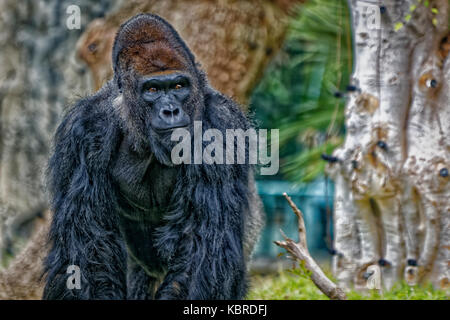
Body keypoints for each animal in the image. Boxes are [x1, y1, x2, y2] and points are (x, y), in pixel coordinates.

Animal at [42, 13, 264, 298]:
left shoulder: (222, 125)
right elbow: (85, 251)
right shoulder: (83, 129)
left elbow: (203, 250)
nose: (170, 110)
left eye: (178, 86)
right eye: (152, 90)